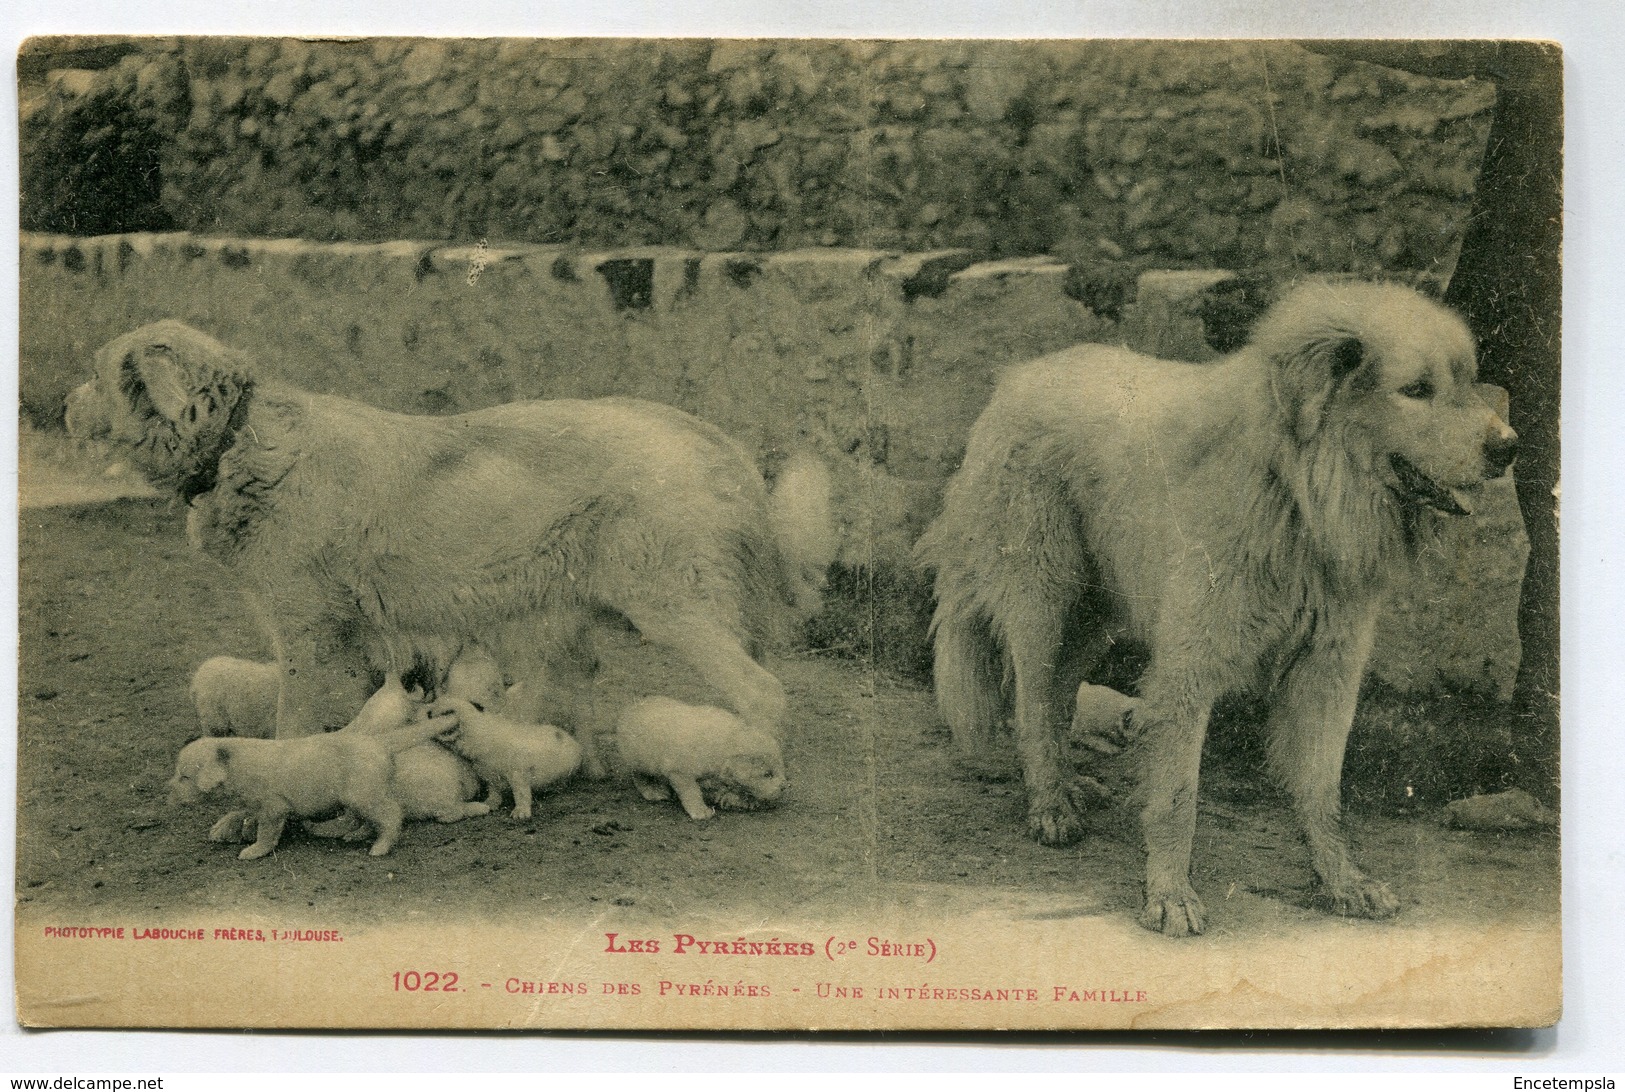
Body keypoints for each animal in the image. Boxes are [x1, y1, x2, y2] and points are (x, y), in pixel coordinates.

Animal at [429, 698, 581, 819]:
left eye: (448, 711)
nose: (428, 713)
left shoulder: (518, 773)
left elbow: (521, 794)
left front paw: (520, 812)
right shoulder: (490, 774)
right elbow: (494, 791)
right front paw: (490, 803)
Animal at [614, 698, 786, 819]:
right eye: (767, 774)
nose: (784, 787)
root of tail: (630, 709)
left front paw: (742, 801)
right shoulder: (680, 772)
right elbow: (692, 792)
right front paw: (701, 811)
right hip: (640, 759)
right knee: (639, 777)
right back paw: (653, 792)